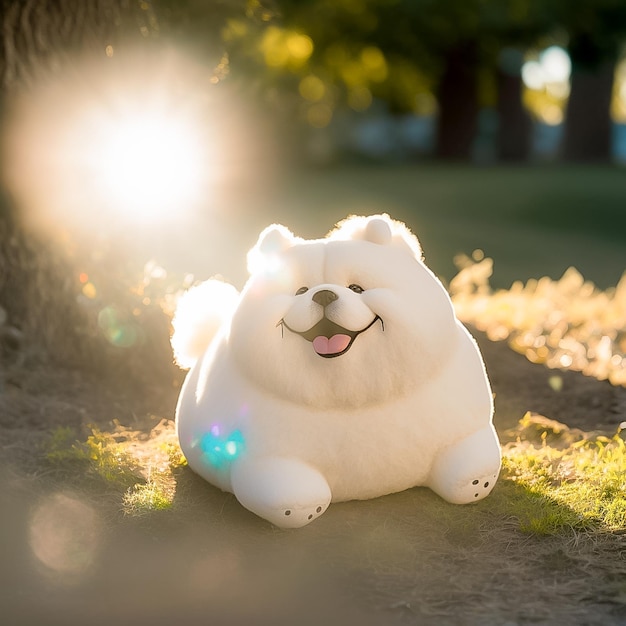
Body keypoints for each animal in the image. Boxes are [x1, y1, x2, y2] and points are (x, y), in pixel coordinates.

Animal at [172, 214, 502, 528]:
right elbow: (280, 486)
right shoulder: (264, 456)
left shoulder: (466, 427)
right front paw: (299, 507)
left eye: (356, 288)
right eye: (301, 290)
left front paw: (476, 479)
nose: (323, 294)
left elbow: (473, 453)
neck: (349, 396)